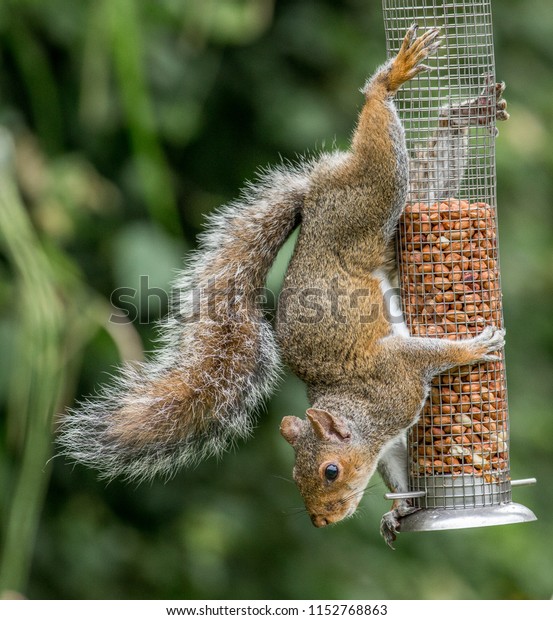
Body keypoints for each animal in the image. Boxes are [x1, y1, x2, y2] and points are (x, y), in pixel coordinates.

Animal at [58, 23, 506, 548]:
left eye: (331, 471)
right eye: (295, 477)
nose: (320, 522)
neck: (358, 410)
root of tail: (314, 193)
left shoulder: (397, 378)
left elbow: (431, 354)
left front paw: (472, 348)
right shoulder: (390, 440)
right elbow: (397, 473)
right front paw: (398, 512)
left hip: (372, 196)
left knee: (383, 134)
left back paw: (397, 81)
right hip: (390, 225)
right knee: (426, 185)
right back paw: (459, 111)